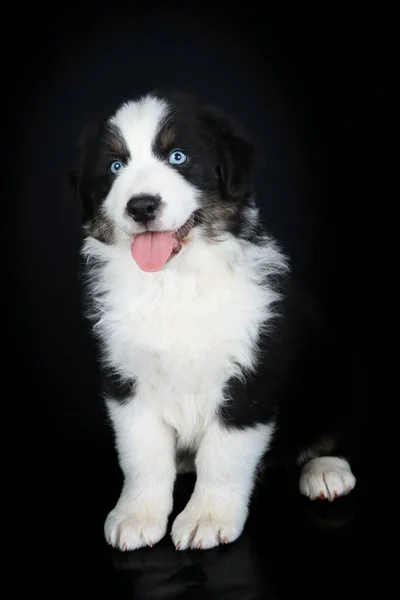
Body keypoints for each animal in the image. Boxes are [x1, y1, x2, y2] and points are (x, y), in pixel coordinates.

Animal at [71, 86, 356, 552]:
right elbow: (141, 454)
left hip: (329, 366)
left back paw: (326, 469)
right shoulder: (125, 378)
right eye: (115, 166)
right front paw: (137, 516)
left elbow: (223, 456)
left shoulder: (251, 373)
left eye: (178, 157)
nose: (142, 206)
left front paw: (207, 518)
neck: (175, 280)